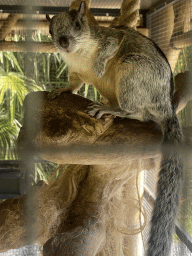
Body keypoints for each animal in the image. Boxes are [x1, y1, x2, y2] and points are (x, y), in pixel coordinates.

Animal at [46, 1, 183, 254]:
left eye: (78, 25)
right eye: (50, 31)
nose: (63, 42)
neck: (78, 55)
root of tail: (166, 105)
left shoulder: (108, 37)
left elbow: (111, 43)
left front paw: (99, 66)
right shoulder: (75, 72)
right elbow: (73, 85)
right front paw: (59, 90)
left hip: (133, 71)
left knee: (138, 113)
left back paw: (114, 110)